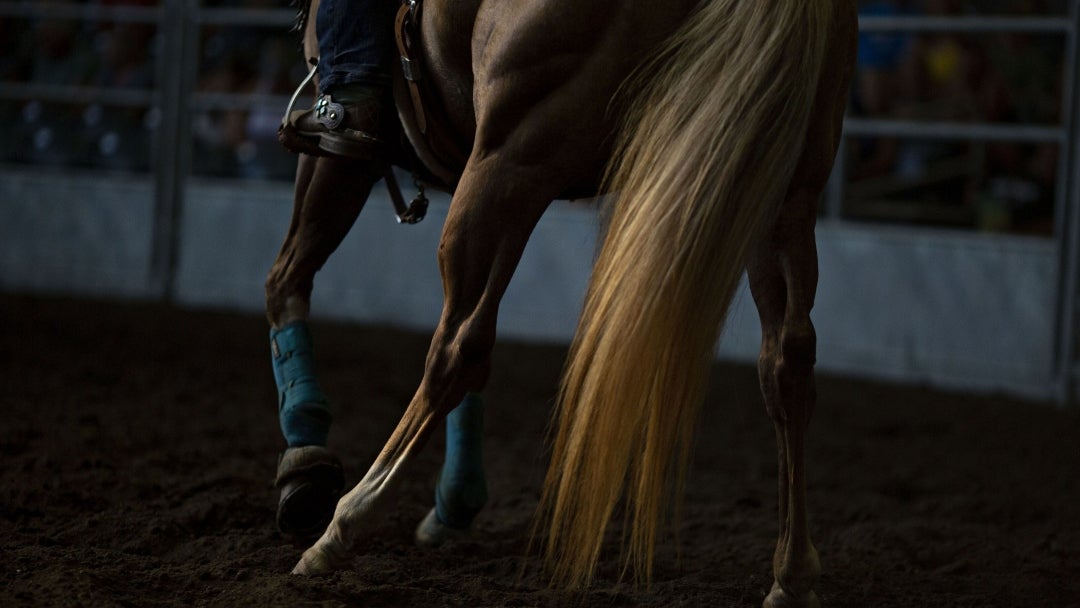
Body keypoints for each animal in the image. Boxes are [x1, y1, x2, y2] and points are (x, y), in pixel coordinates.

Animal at [265, 1, 855, 604]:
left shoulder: (347, 157)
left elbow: (286, 280)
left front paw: (304, 466)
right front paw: (453, 499)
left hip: (511, 162)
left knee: (456, 349)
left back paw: (342, 525)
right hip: (782, 196)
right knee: (786, 364)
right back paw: (792, 574)